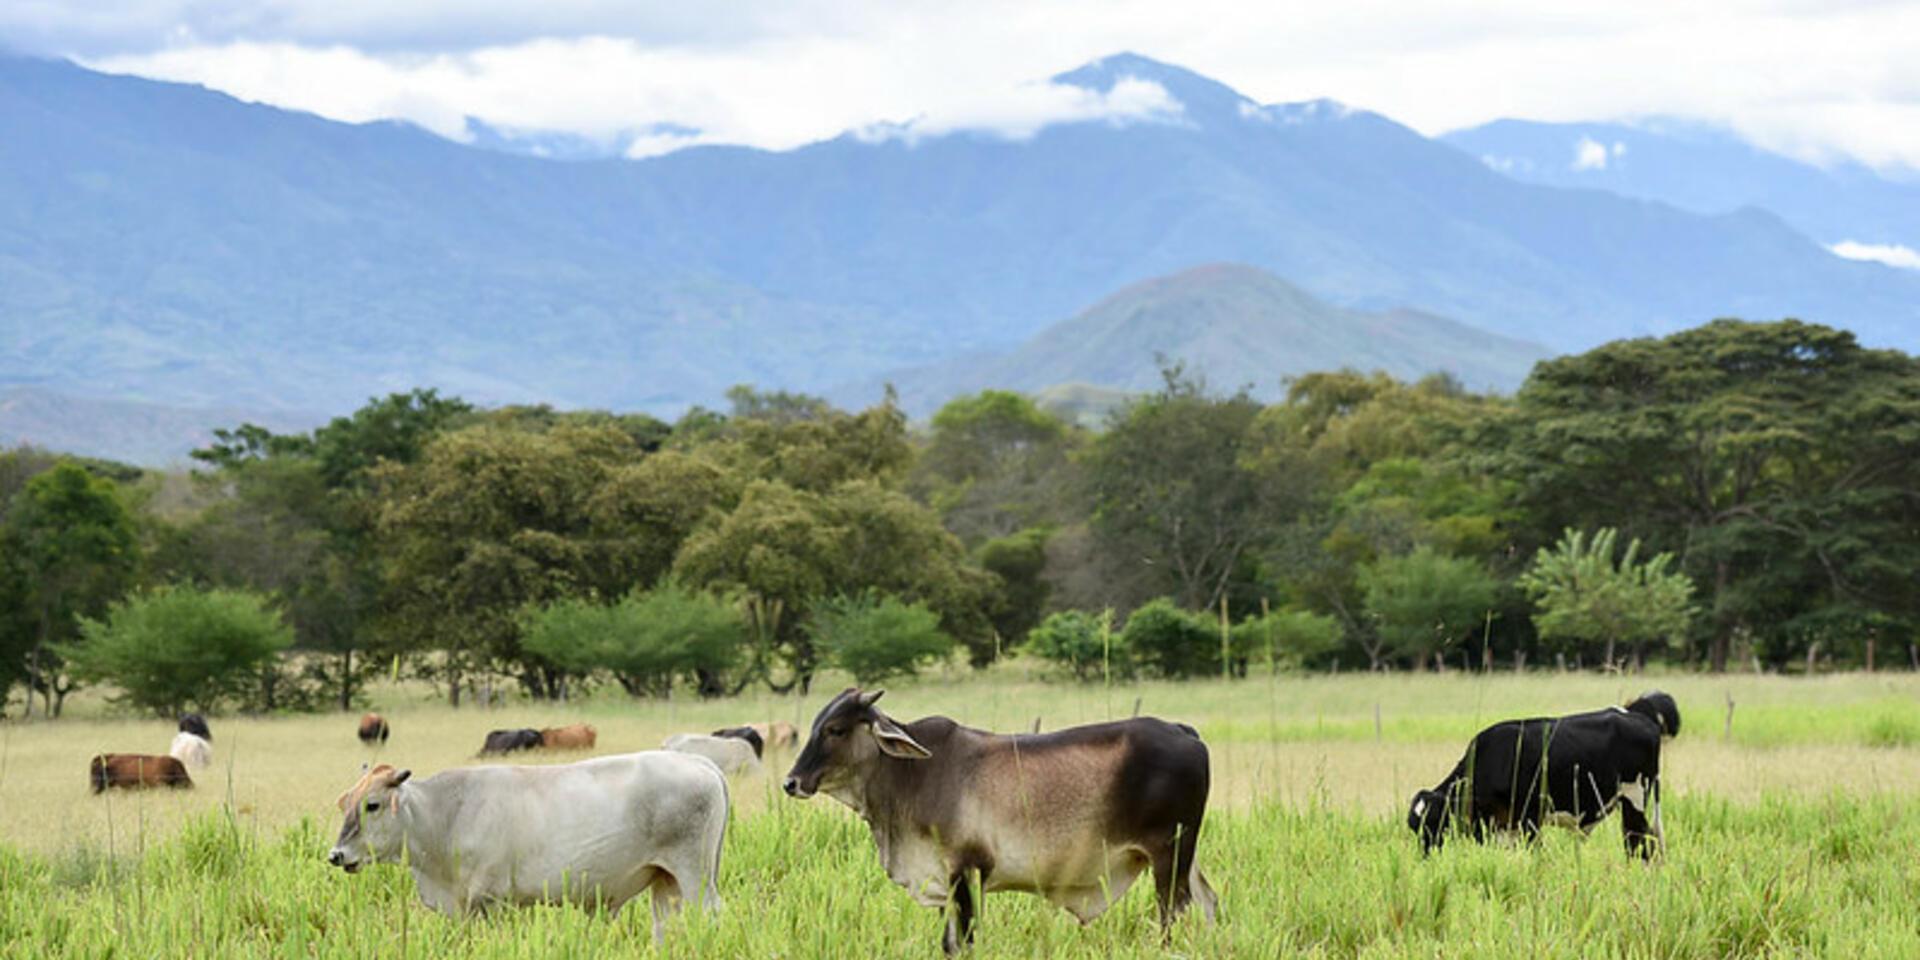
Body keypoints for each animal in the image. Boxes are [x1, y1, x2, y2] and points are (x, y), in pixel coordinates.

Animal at [327, 755, 727, 939]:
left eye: (372, 805)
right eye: (345, 801)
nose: (336, 855)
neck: (447, 815)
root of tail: (698, 761)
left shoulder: (491, 901)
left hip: (695, 877)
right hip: (665, 883)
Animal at [783, 688, 1217, 955]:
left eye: (835, 729)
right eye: (816, 726)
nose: (791, 782)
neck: (911, 774)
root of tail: (1183, 731)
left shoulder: (966, 871)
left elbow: (964, 943)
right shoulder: (944, 881)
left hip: (1168, 856)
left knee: (1171, 916)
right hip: (1187, 855)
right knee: (1208, 901)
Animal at [1408, 691, 1681, 859]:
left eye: (1434, 822)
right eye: (1414, 827)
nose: (1426, 858)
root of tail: (1636, 715)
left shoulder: (1529, 819)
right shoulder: (1502, 826)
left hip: (1635, 797)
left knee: (1640, 844)